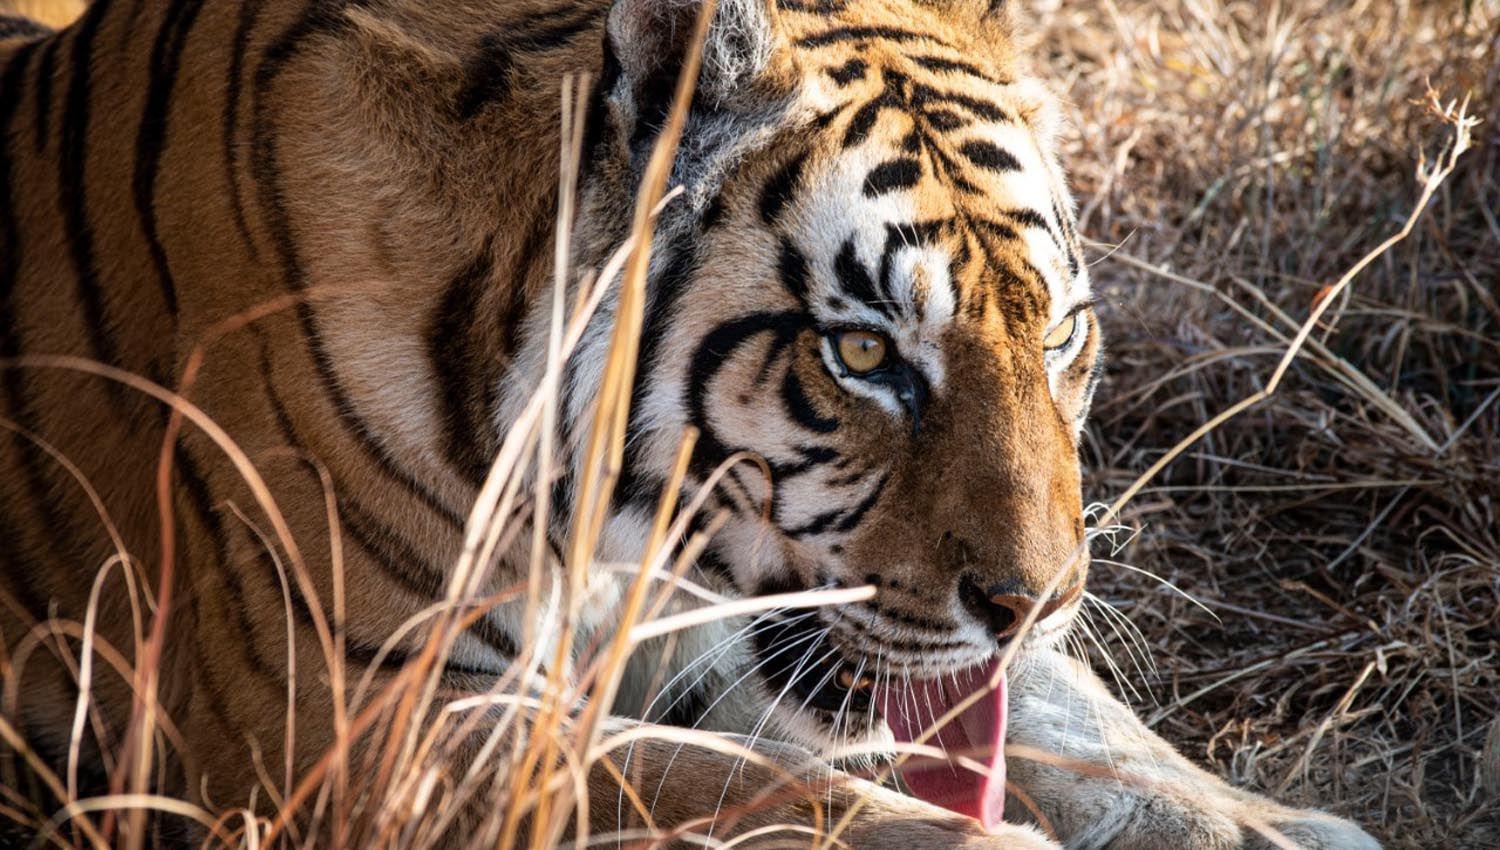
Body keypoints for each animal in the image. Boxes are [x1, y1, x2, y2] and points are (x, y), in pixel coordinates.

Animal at [0, 0, 1380, 845]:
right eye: (864, 352)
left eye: (1057, 336)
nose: (1037, 596)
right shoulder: (346, 719)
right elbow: (739, 789)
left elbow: (1070, 708)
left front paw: (1257, 821)